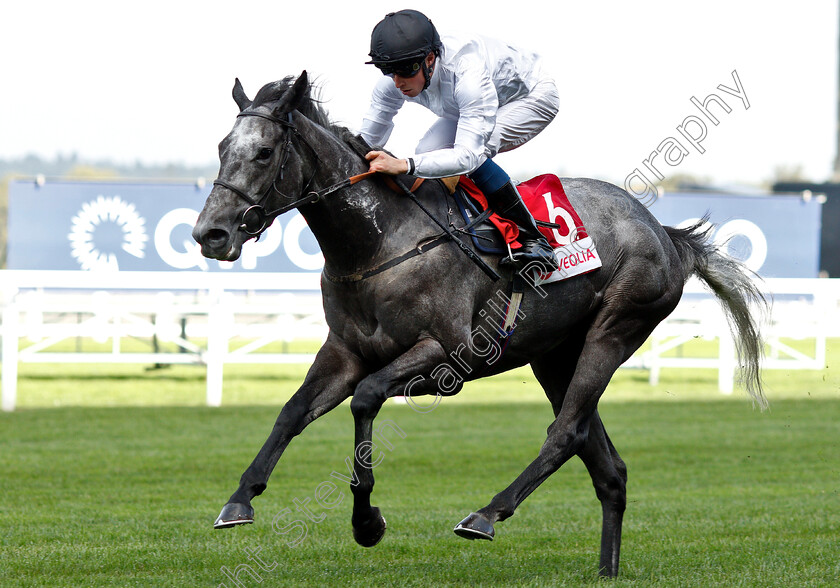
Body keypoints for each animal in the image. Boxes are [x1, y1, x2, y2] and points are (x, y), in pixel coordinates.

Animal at [192, 71, 768, 576]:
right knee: (606, 464)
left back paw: (486, 515)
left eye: (264, 152)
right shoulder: (345, 352)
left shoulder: (449, 356)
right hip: (554, 356)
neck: (379, 242)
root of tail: (664, 231)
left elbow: (366, 398)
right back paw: (607, 570)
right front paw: (240, 500)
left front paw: (366, 521)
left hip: (614, 330)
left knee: (566, 433)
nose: (209, 234)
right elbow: (291, 412)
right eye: (222, 147)